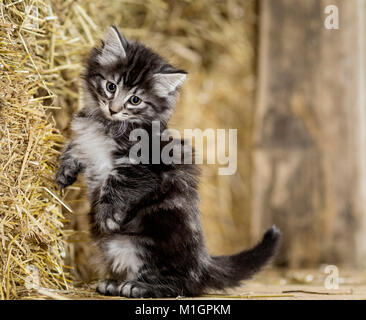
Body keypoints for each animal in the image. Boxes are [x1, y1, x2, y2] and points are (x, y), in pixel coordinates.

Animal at [56, 26, 280, 298]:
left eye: (135, 100)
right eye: (111, 86)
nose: (113, 108)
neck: (107, 124)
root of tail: (202, 262)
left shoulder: (146, 165)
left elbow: (117, 182)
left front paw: (107, 214)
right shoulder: (85, 140)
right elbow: (74, 148)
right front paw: (64, 172)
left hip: (157, 238)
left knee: (182, 285)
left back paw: (138, 287)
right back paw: (113, 283)